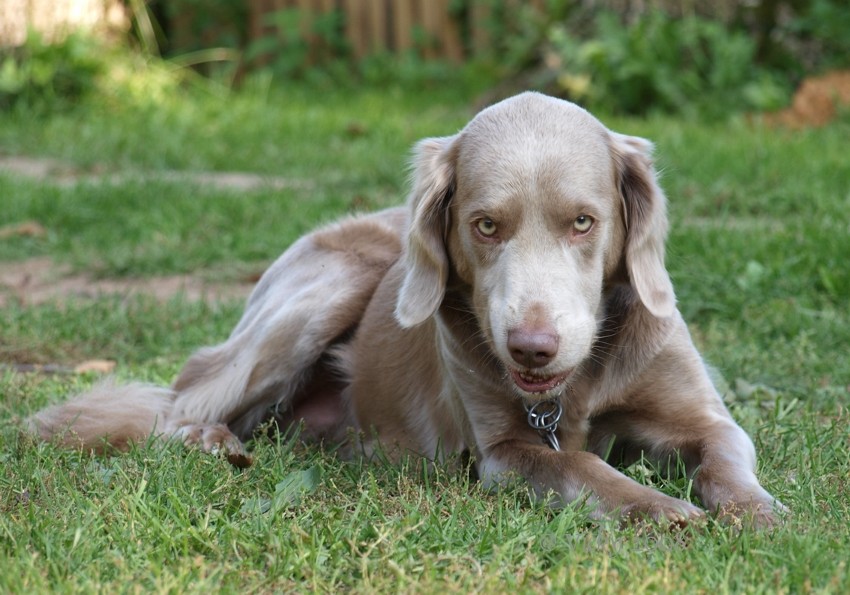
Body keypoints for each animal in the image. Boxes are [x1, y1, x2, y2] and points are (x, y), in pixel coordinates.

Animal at [26, 92, 780, 528]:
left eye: (583, 222)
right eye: (485, 225)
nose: (530, 347)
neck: (582, 378)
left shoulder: (702, 414)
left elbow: (726, 457)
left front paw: (759, 514)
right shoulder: (506, 452)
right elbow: (584, 468)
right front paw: (661, 511)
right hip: (324, 289)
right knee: (178, 406)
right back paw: (215, 442)